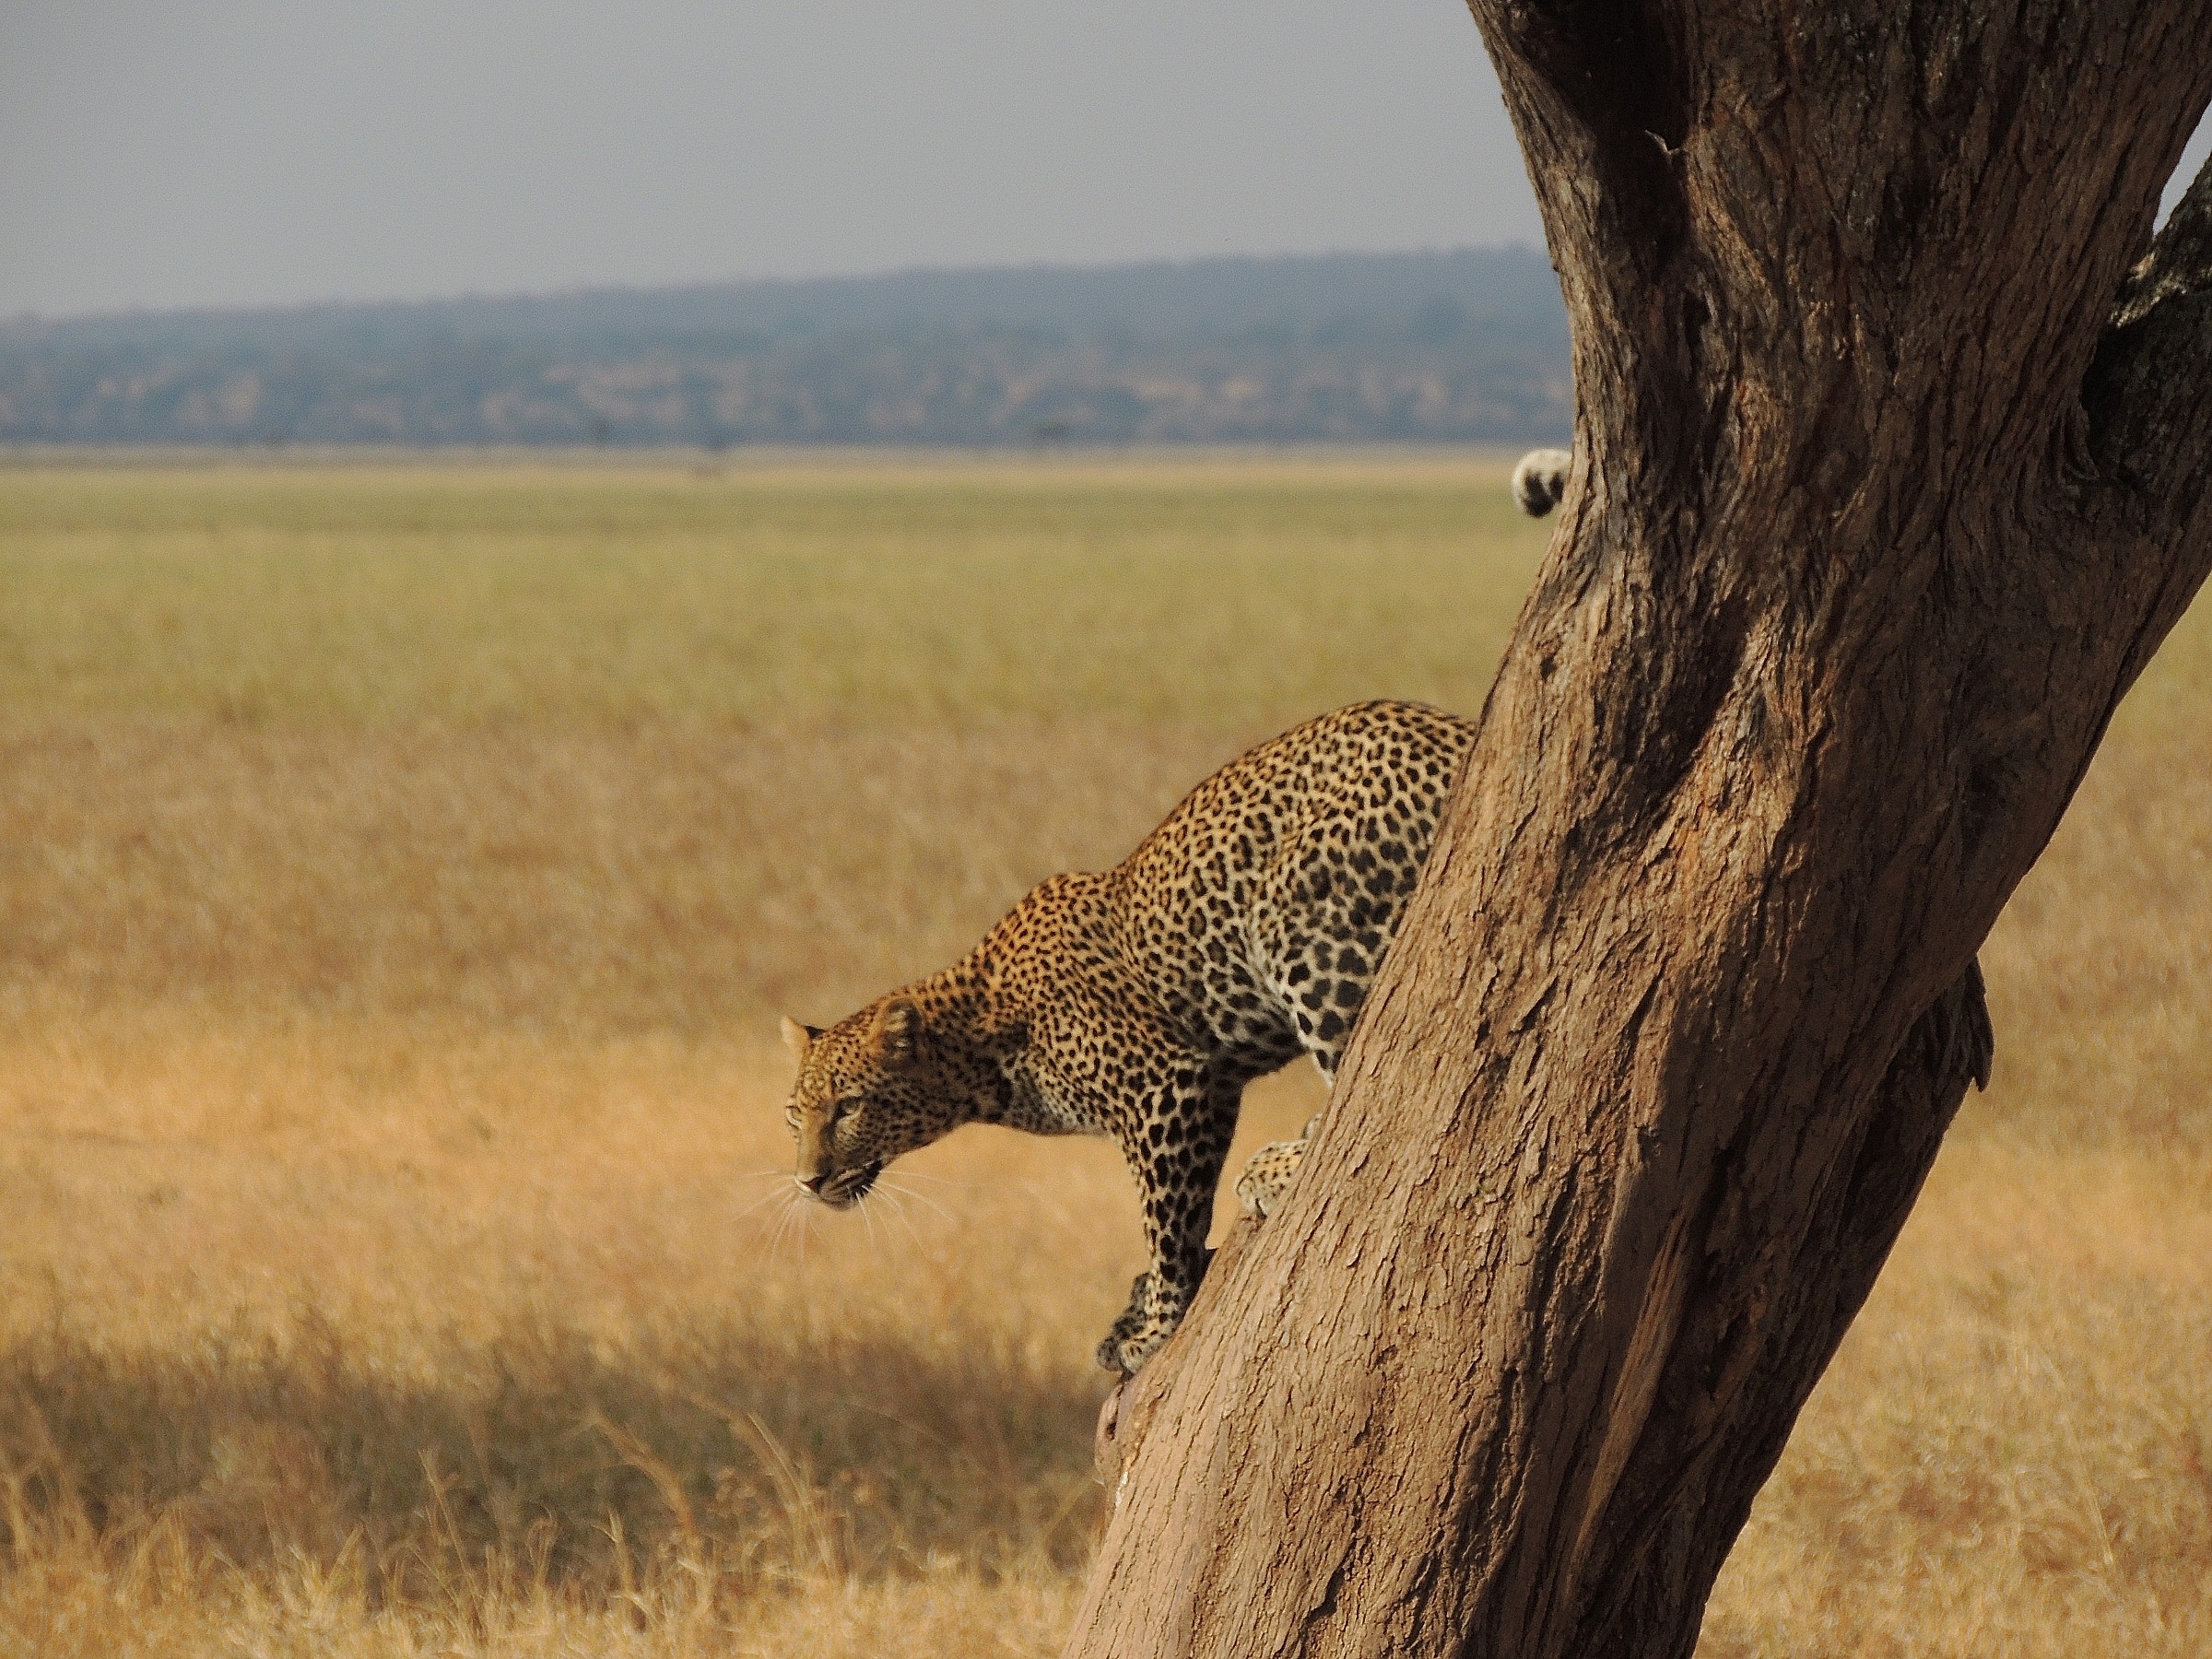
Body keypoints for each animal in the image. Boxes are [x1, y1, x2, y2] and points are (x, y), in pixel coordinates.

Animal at [779, 699, 1475, 1375]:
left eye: (849, 1108)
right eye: (795, 1116)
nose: (807, 1182)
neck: (980, 1051)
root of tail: (1457, 732)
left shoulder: (1170, 1087)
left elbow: (1164, 1219)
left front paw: (1156, 1325)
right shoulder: (1206, 1090)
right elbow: (1185, 1216)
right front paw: (1140, 1307)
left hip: (1301, 925)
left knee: (1377, 1082)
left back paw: (1276, 1165)